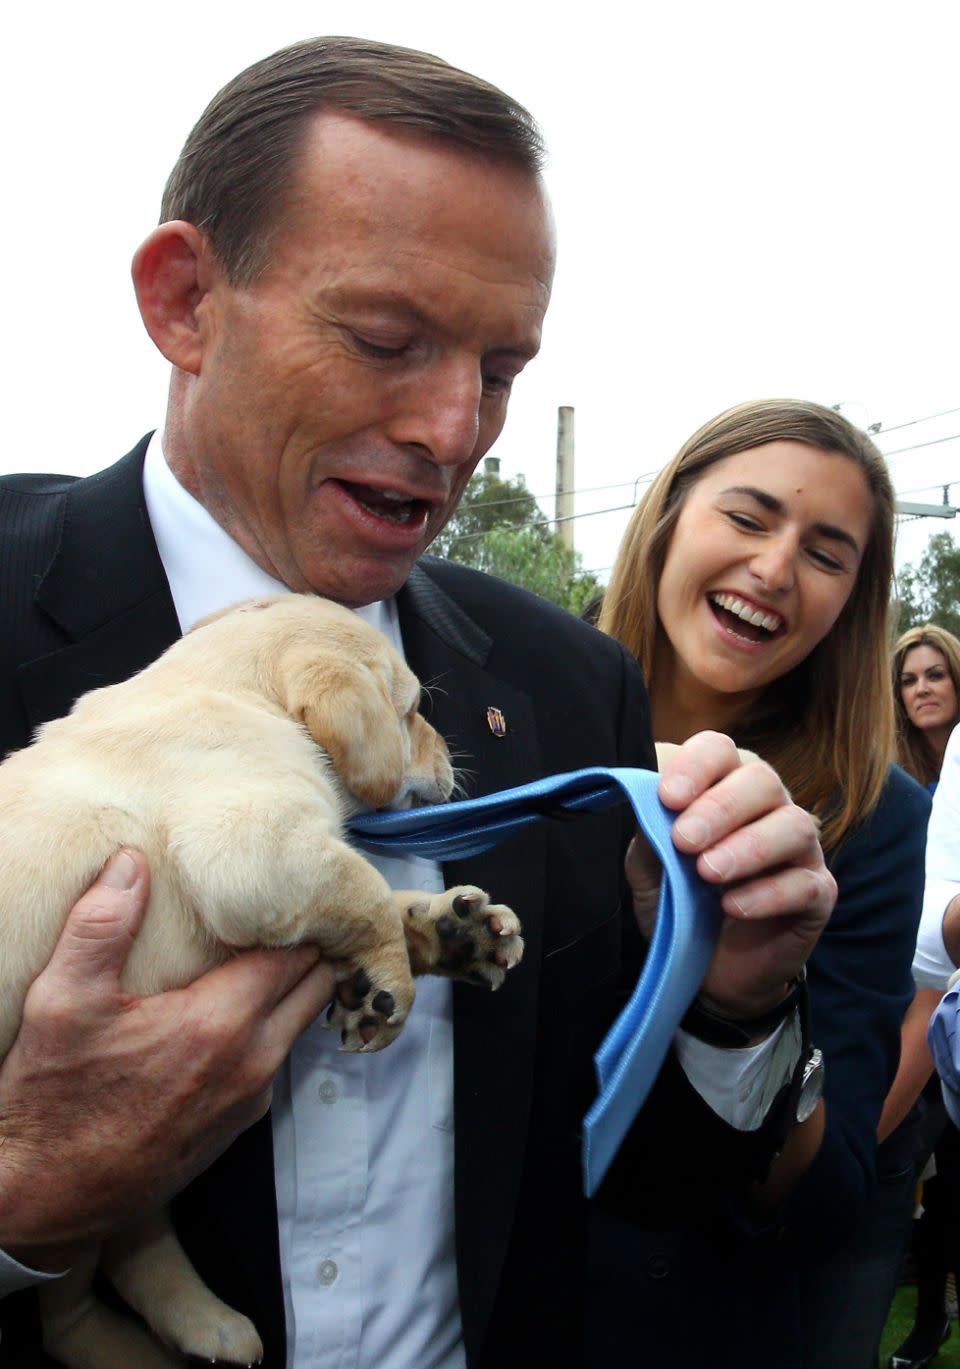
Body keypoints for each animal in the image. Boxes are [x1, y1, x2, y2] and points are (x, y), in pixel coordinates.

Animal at [0, 596, 523, 1369]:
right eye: (407, 712)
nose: (452, 757)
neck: (238, 688)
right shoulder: (249, 849)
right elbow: (363, 885)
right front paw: (390, 984)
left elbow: (377, 895)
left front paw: (446, 933)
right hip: (79, 1169)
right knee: (68, 1304)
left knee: (129, 1245)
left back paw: (206, 1324)